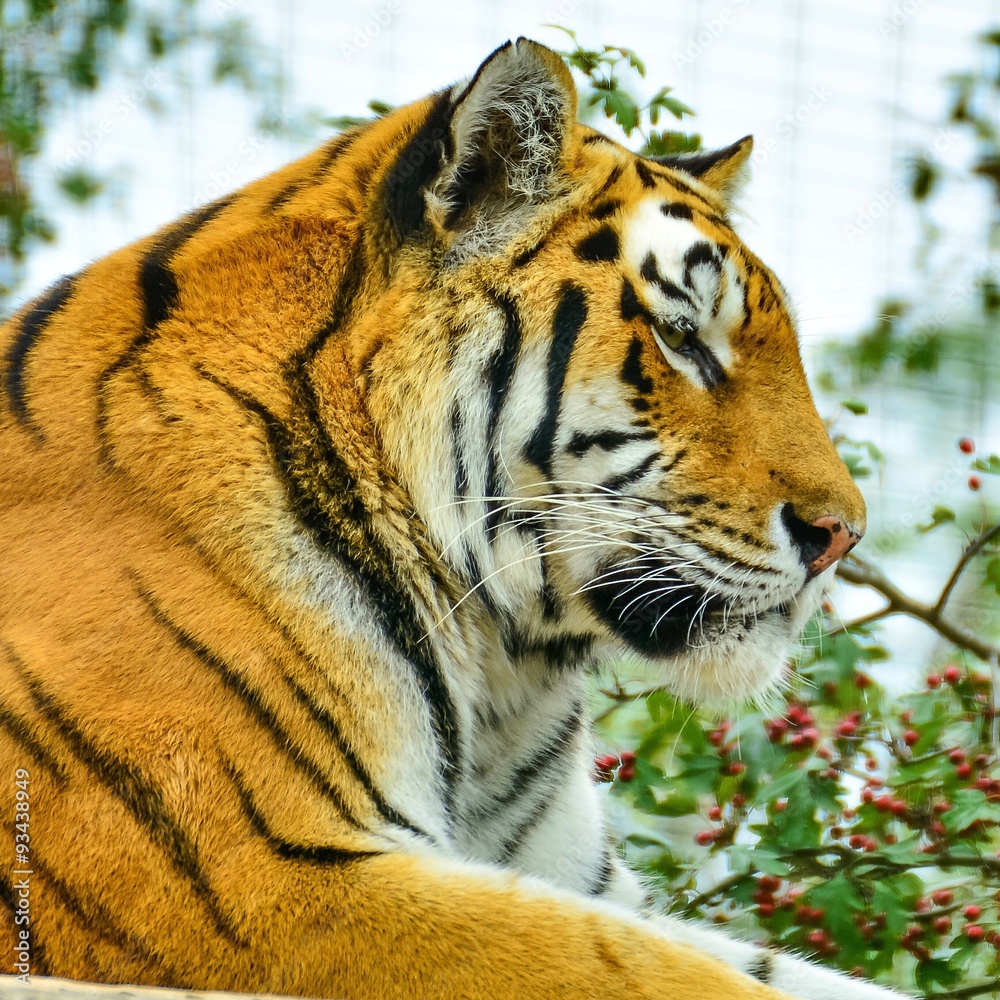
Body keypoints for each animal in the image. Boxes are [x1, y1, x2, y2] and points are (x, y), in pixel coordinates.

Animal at [0, 37, 902, 1000]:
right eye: (683, 337)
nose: (844, 536)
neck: (501, 672)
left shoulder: (566, 874)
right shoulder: (259, 878)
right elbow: (633, 968)